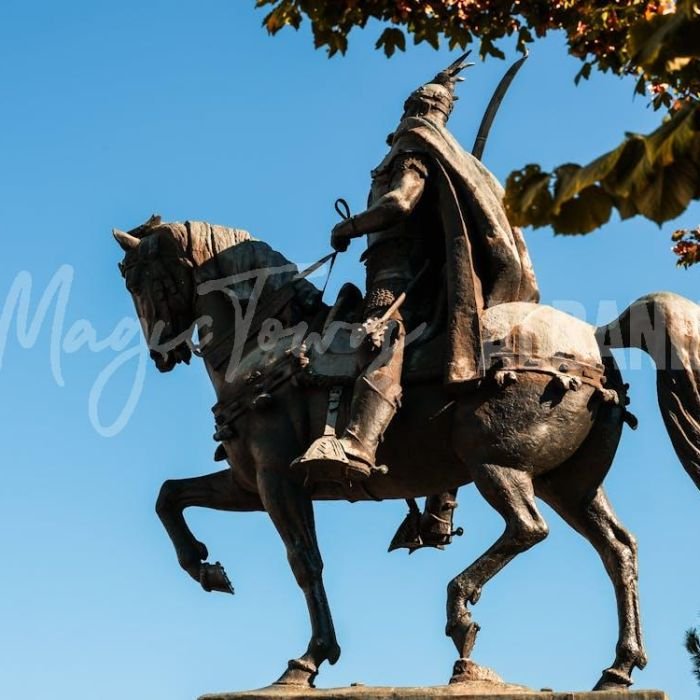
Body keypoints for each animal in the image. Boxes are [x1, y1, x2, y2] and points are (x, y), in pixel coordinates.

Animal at [112, 217, 696, 688]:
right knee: (618, 549)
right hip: (570, 484)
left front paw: (310, 659)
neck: (266, 345)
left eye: (138, 277)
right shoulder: (247, 484)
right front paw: (204, 567)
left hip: (496, 464)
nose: (162, 353)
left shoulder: (278, 480)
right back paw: (618, 667)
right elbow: (169, 496)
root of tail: (595, 336)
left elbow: (305, 561)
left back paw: (461, 614)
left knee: (529, 528)